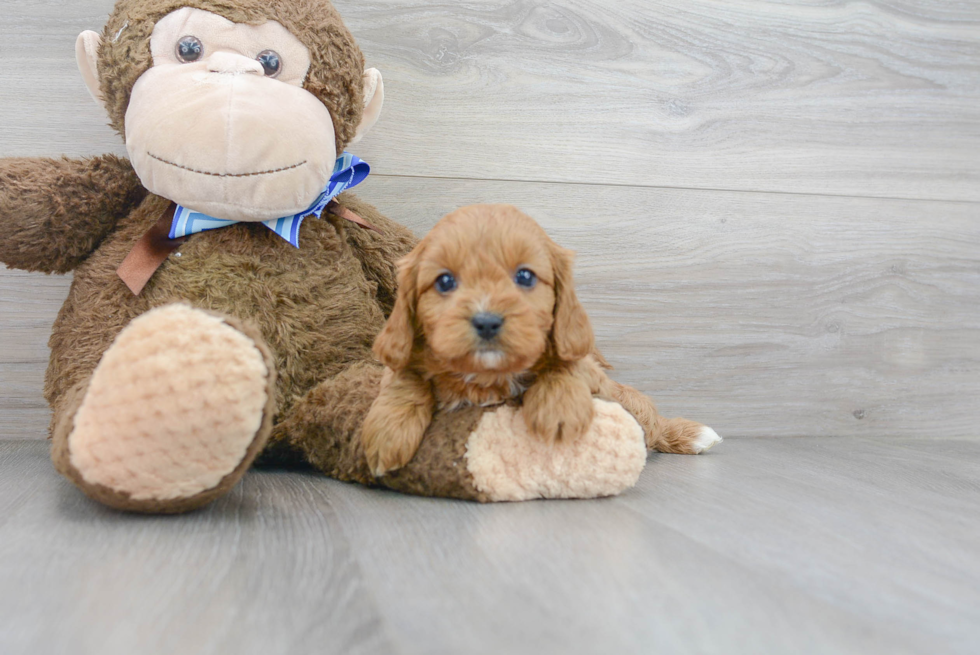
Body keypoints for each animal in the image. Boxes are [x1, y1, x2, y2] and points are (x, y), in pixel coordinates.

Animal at [360, 205, 720, 476]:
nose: (487, 321)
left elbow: (567, 363)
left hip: (629, 403)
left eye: (525, 276)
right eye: (445, 281)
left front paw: (559, 411)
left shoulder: (585, 364)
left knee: (649, 417)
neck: (489, 378)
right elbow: (403, 377)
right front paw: (387, 433)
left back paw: (692, 436)